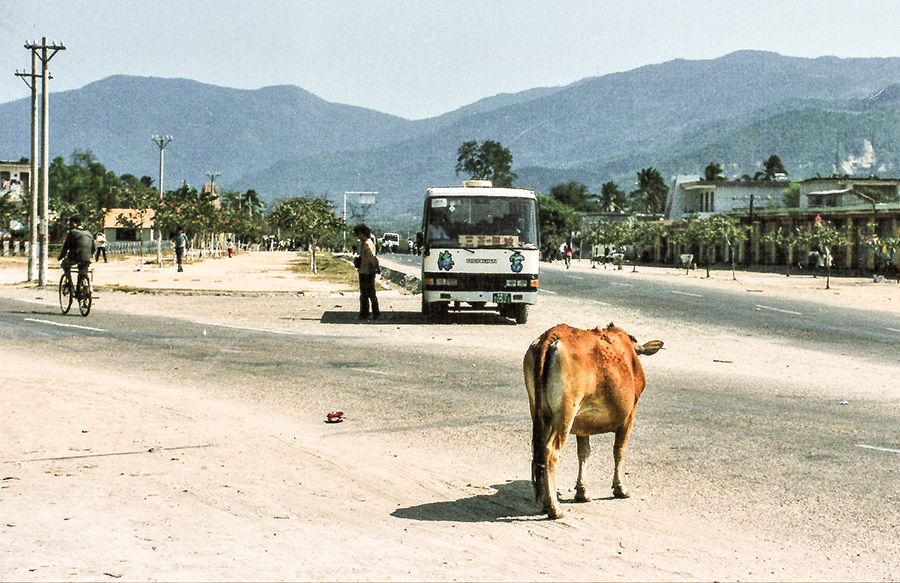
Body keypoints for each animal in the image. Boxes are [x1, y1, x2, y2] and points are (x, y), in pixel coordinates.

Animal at [524, 324, 664, 520]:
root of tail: (551, 334)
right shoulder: (630, 413)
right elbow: (619, 450)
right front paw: (620, 488)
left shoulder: (583, 422)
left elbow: (583, 452)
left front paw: (582, 491)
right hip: (566, 411)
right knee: (551, 450)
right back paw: (553, 508)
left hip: (539, 411)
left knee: (540, 449)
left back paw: (546, 502)